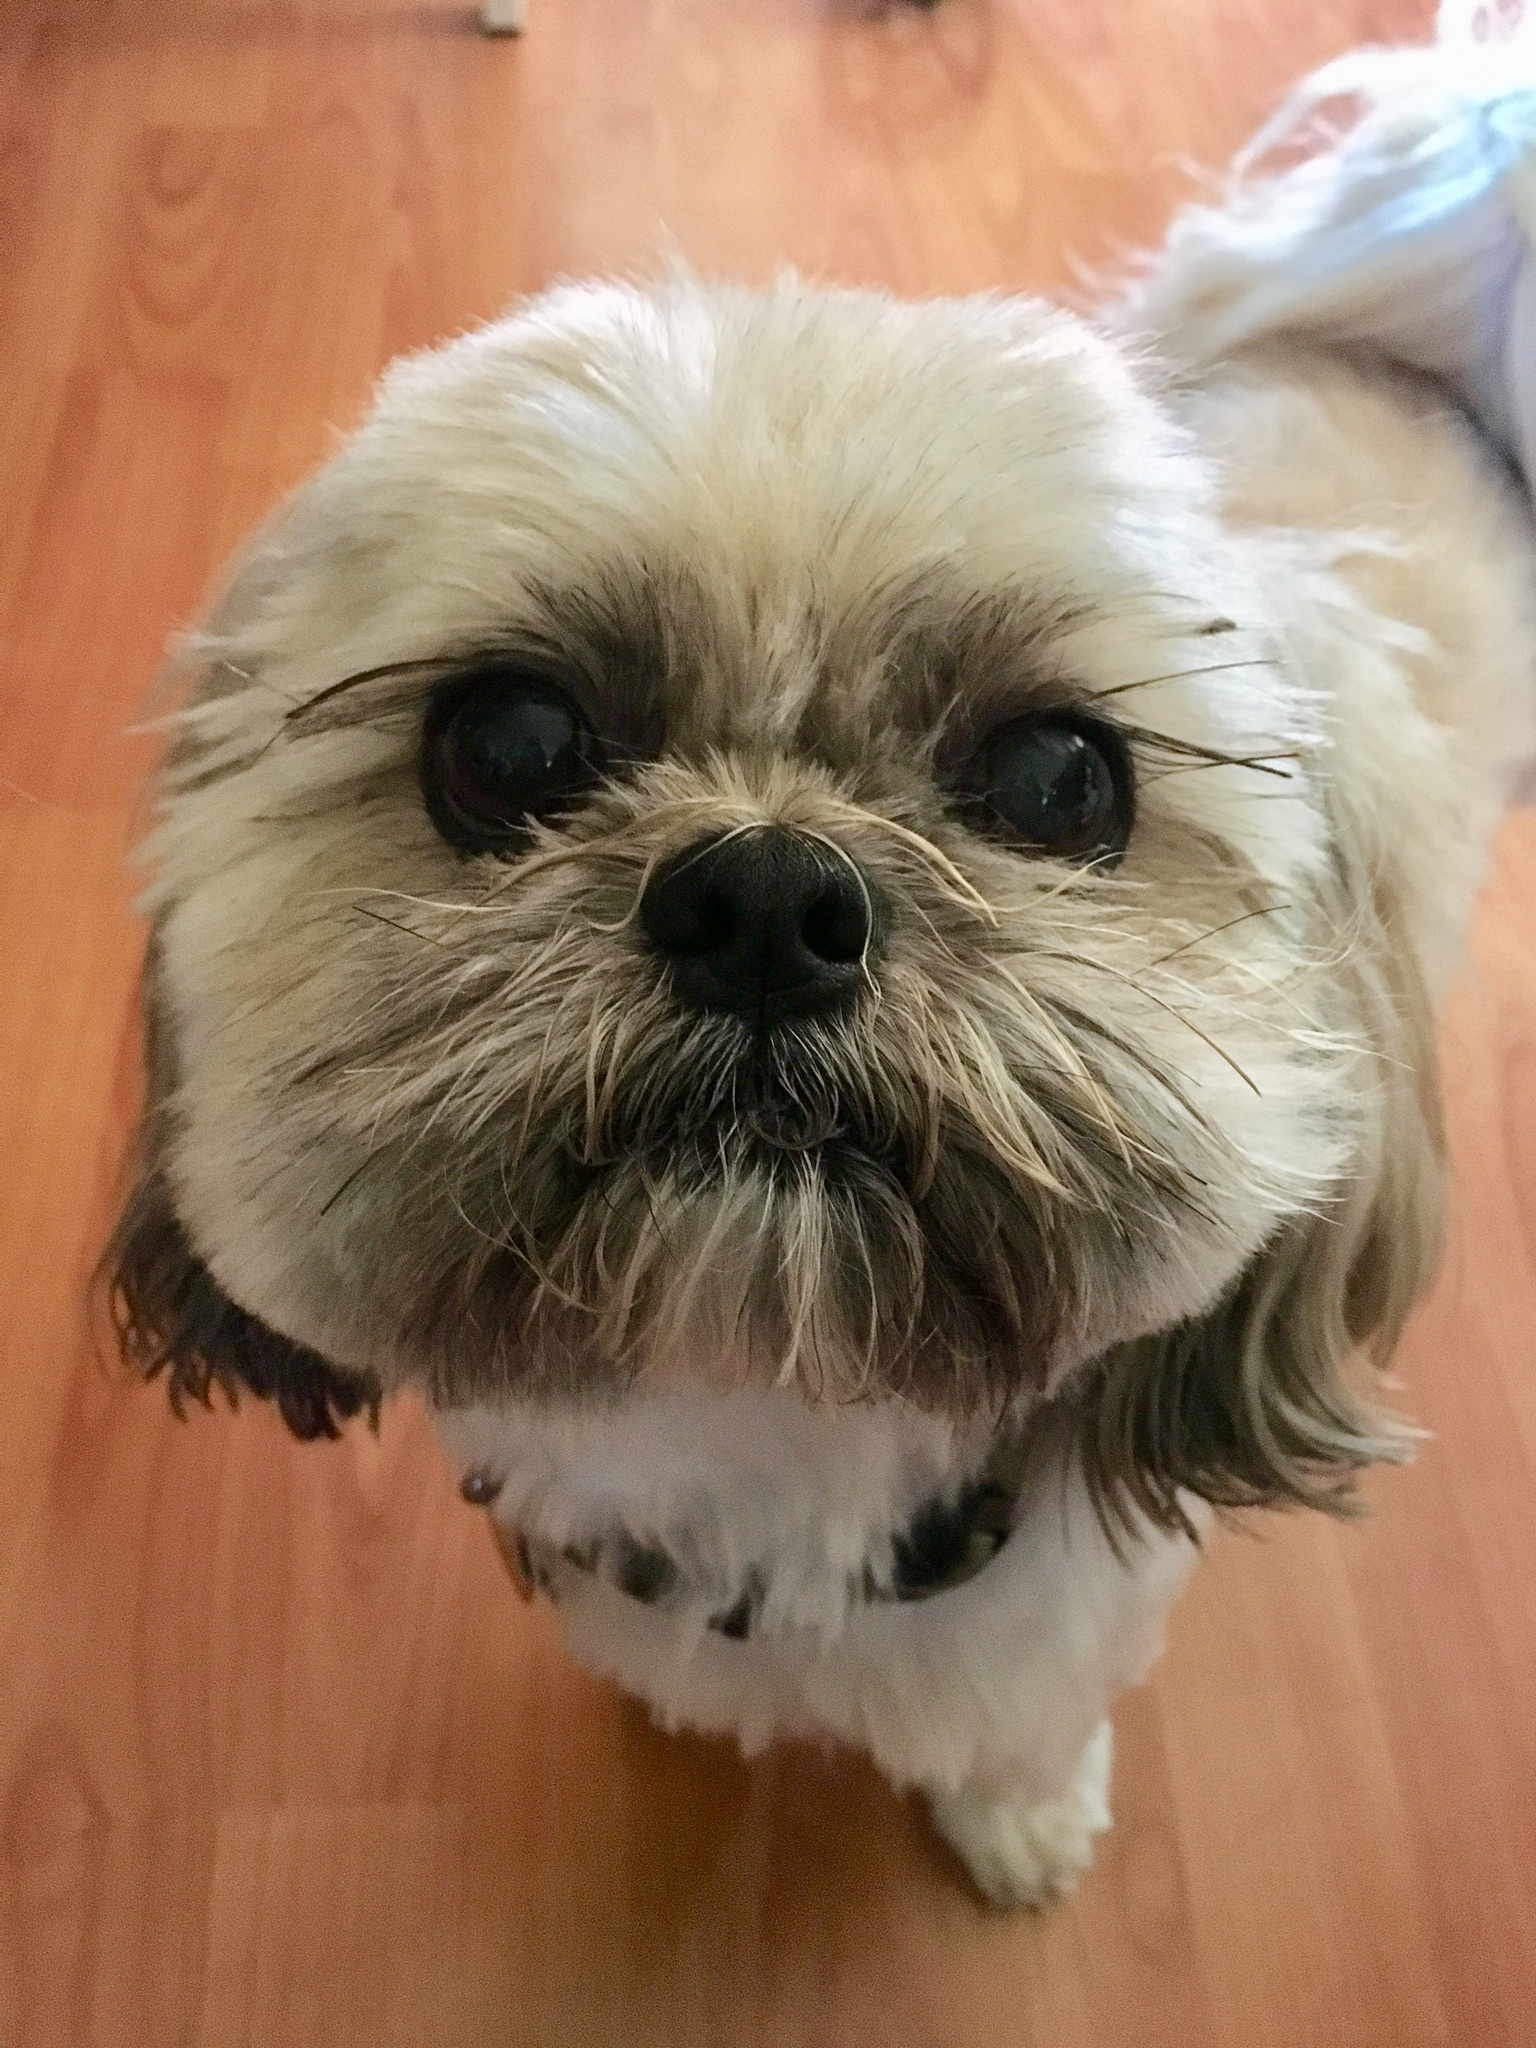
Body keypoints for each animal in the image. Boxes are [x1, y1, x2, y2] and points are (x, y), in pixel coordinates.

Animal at [107, 17, 1536, 1906]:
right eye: (506, 742)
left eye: (1060, 776)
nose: (768, 898)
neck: (773, 1436)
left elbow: (1024, 1725)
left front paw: (1020, 1816)